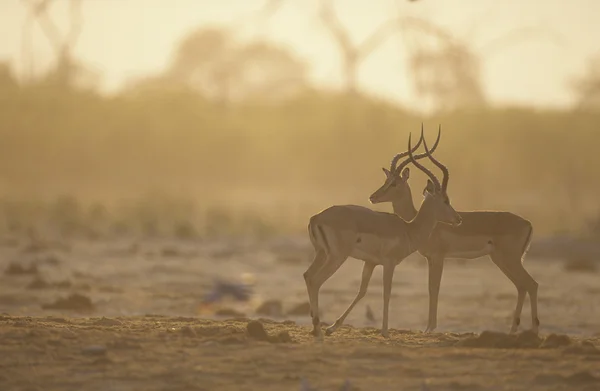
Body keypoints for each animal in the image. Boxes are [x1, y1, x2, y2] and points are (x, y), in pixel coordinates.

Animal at [304, 127, 460, 338]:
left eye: (393, 182)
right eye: (445, 200)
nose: (458, 219)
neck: (408, 229)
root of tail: (316, 217)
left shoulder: (370, 262)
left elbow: (362, 291)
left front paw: (333, 327)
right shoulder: (389, 263)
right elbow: (387, 292)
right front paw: (385, 332)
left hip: (321, 253)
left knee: (307, 275)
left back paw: (317, 328)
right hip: (336, 257)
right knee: (315, 280)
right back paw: (318, 330)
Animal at [368, 127, 536, 336]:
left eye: (394, 184)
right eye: (386, 180)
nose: (373, 197)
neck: (418, 219)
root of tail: (528, 223)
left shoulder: (439, 257)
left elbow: (435, 288)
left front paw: (430, 328)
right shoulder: (430, 258)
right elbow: (430, 287)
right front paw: (428, 327)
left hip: (509, 259)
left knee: (531, 284)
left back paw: (534, 330)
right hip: (502, 260)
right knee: (522, 286)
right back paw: (513, 331)